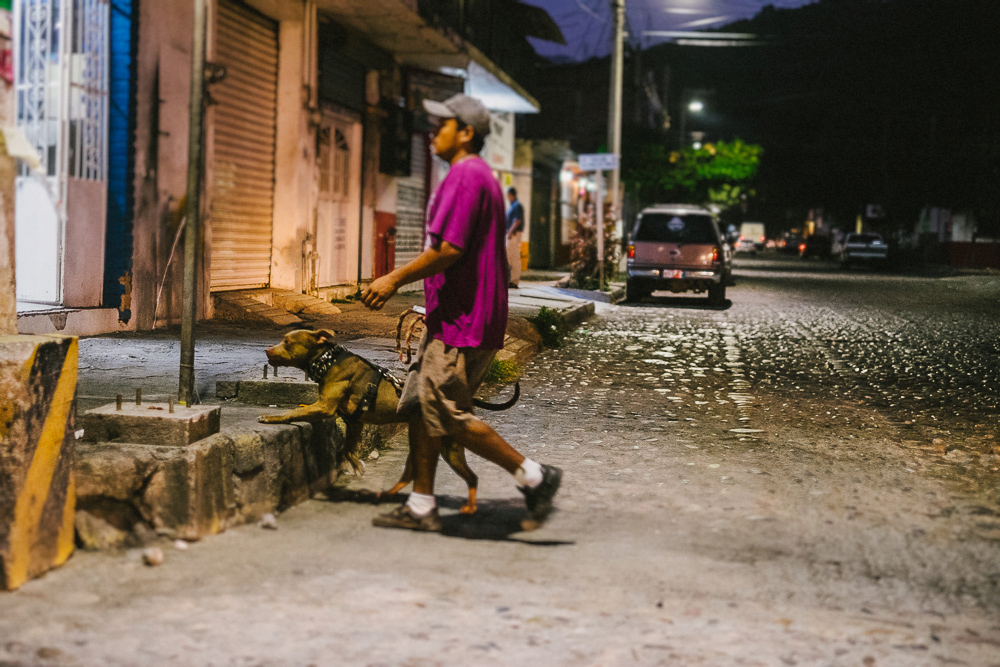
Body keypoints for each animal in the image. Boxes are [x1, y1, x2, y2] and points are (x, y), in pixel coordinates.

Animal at [254, 332, 520, 516]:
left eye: (287, 342)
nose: (267, 350)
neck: (328, 360)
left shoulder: (326, 407)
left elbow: (291, 413)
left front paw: (271, 417)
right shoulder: (355, 422)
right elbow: (346, 448)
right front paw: (355, 465)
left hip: (449, 448)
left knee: (468, 476)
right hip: (436, 446)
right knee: (423, 473)